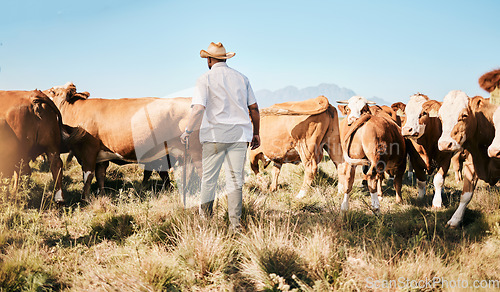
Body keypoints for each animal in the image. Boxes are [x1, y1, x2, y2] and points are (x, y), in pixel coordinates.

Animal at [43, 82, 203, 196]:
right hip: (184, 153)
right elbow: (100, 176)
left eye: (52, 91)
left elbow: (87, 176)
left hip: (196, 150)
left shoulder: (88, 150)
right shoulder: (100, 156)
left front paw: (85, 199)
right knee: (188, 173)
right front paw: (101, 195)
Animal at [434, 90, 500, 227]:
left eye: (464, 115)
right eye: (440, 117)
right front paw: (455, 219)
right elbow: (466, 195)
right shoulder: (471, 164)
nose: (444, 144)